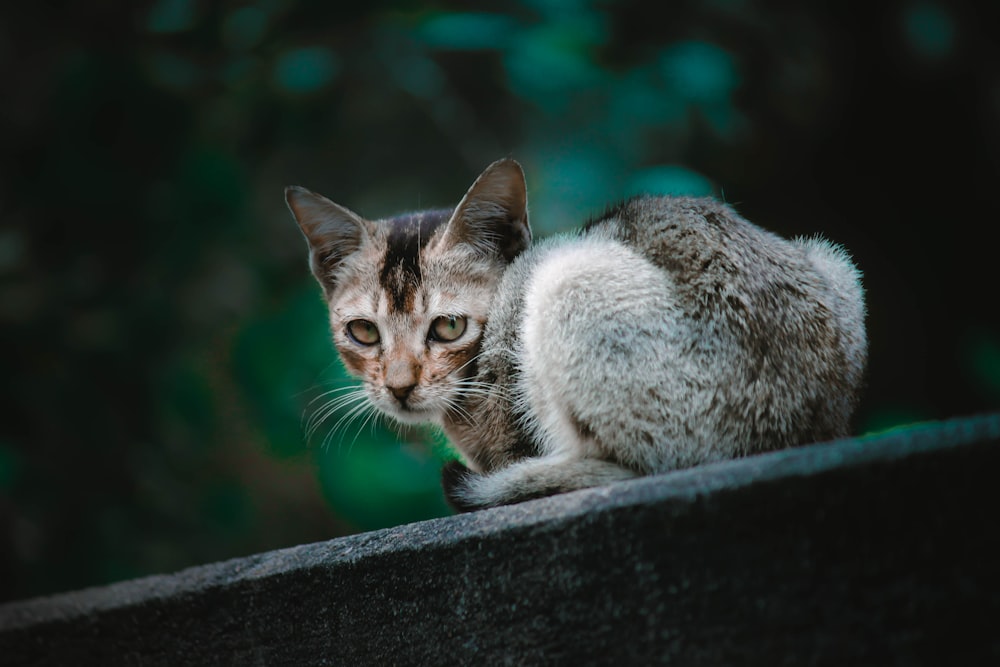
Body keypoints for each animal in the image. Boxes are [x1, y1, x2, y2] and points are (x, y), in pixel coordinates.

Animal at [286, 159, 864, 516]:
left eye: (449, 326)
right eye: (363, 332)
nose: (400, 387)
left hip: (564, 277)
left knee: (647, 466)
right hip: (834, 262)